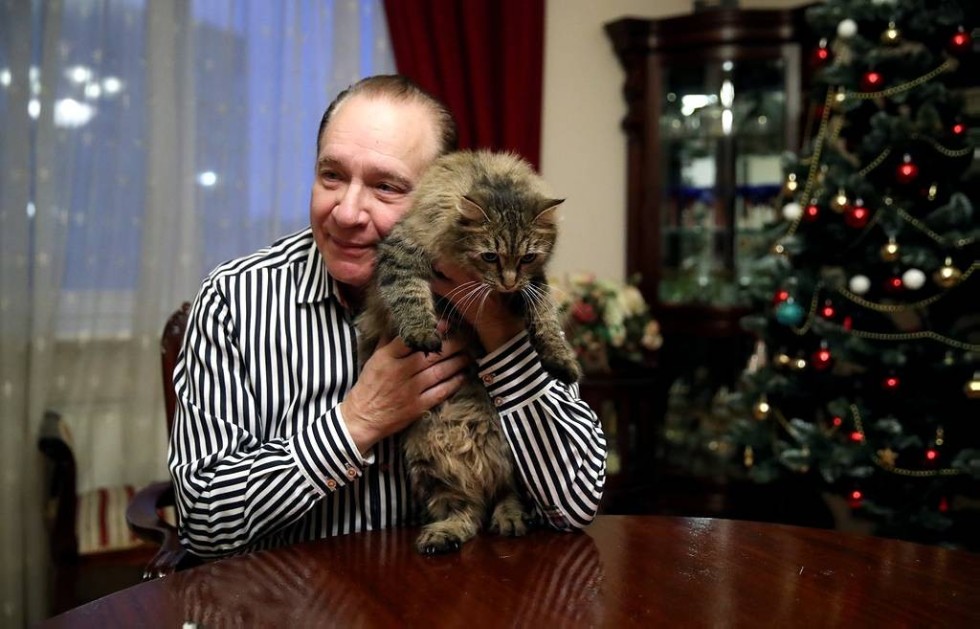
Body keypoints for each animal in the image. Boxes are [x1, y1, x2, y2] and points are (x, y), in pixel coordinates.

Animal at [356, 149, 581, 555]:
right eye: (490, 256)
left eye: (526, 258)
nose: (508, 283)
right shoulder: (403, 250)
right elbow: (408, 293)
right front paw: (423, 332)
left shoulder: (534, 284)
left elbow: (544, 315)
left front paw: (560, 360)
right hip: (430, 466)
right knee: (466, 512)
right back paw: (443, 535)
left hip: (510, 458)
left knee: (503, 495)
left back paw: (510, 520)